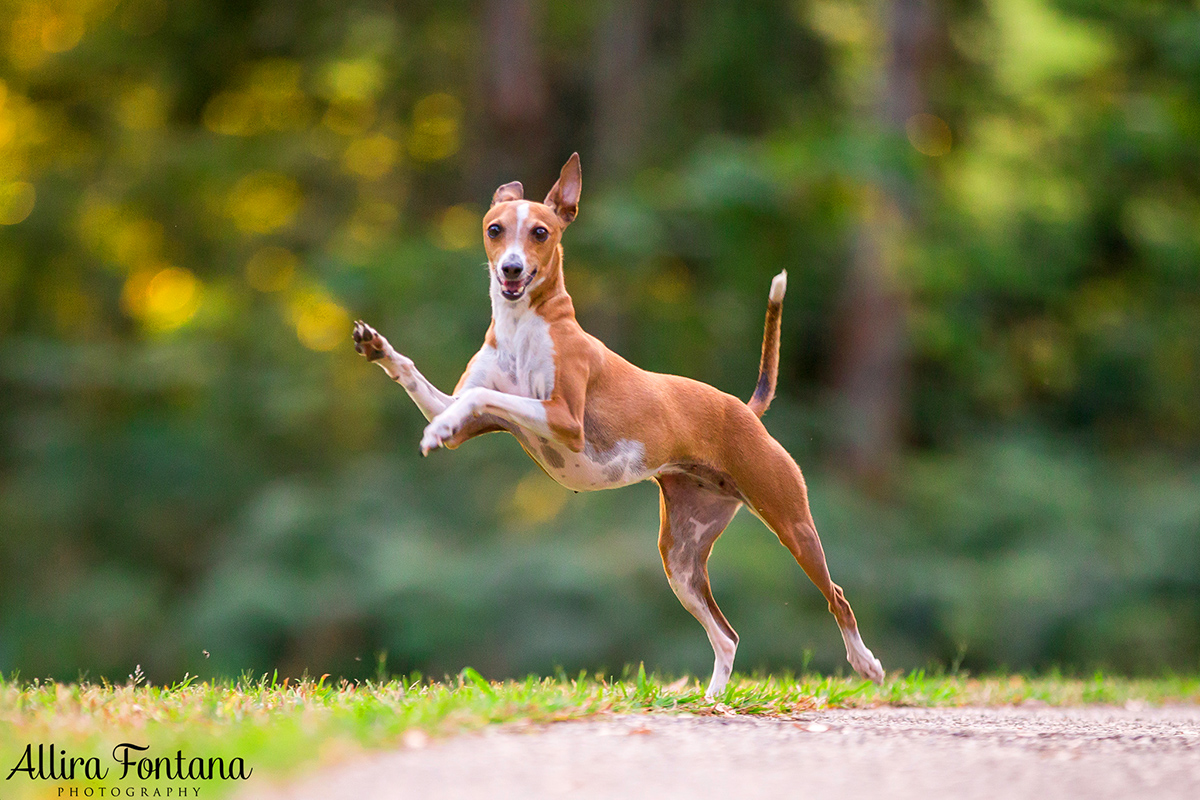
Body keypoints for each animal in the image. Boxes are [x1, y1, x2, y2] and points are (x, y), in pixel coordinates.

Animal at [350, 153, 888, 695]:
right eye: (495, 229)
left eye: (541, 232)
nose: (511, 268)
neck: (523, 326)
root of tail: (742, 408)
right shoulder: (468, 413)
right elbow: (439, 389)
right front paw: (381, 351)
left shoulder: (564, 419)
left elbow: (488, 395)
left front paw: (434, 432)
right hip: (680, 560)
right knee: (727, 636)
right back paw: (713, 699)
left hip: (792, 526)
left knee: (837, 597)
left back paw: (865, 664)